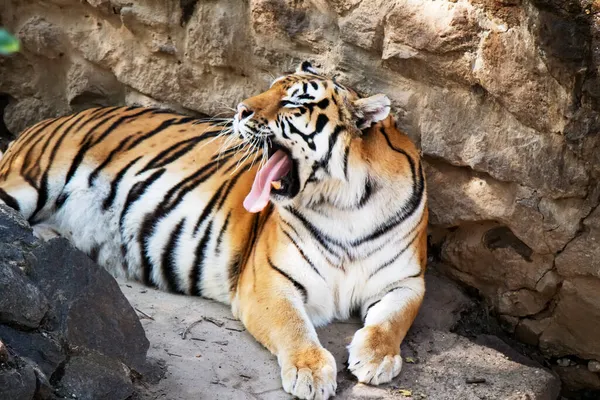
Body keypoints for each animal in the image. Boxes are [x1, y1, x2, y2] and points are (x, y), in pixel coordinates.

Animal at [0, 62, 426, 400]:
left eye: (294, 103)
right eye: (271, 87)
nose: (240, 110)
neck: (346, 204)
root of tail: (45, 121)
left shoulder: (407, 281)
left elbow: (391, 320)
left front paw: (376, 358)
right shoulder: (268, 281)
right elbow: (294, 327)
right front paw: (310, 372)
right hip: (23, 184)